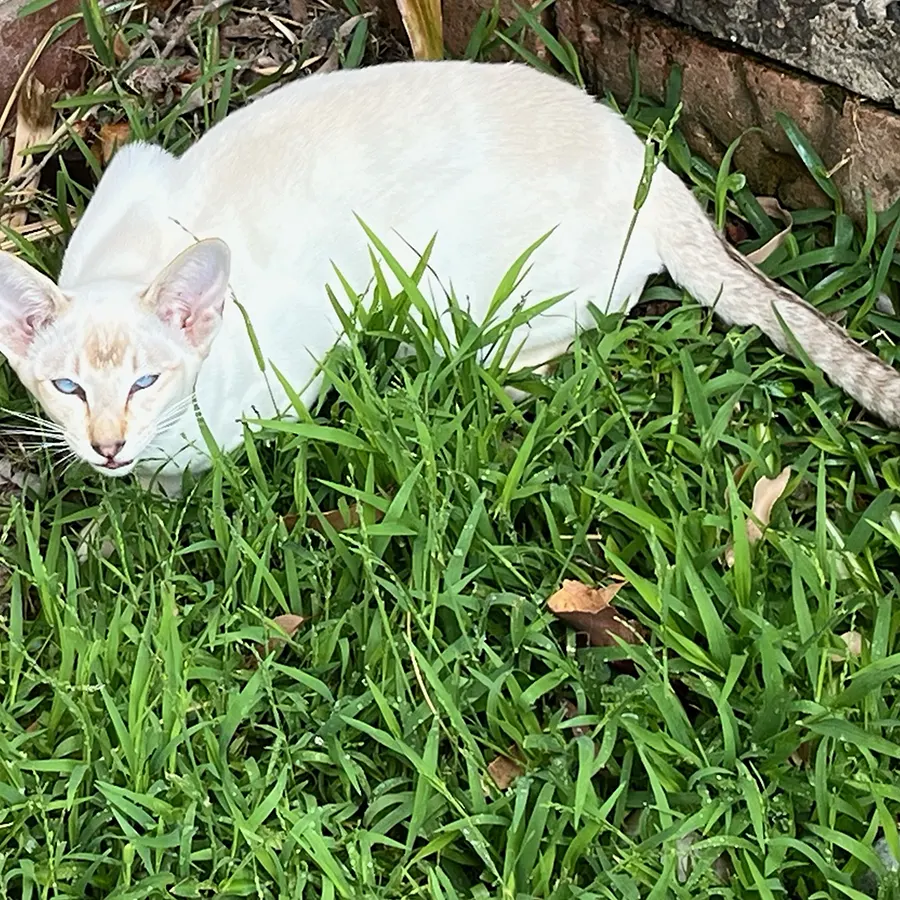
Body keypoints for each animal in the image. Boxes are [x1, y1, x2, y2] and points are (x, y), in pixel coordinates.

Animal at [1, 61, 900, 500]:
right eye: (68, 388)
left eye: (146, 382)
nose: (107, 446)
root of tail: (657, 171)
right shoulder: (135, 163)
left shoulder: (300, 356)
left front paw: (164, 493)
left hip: (452, 295)